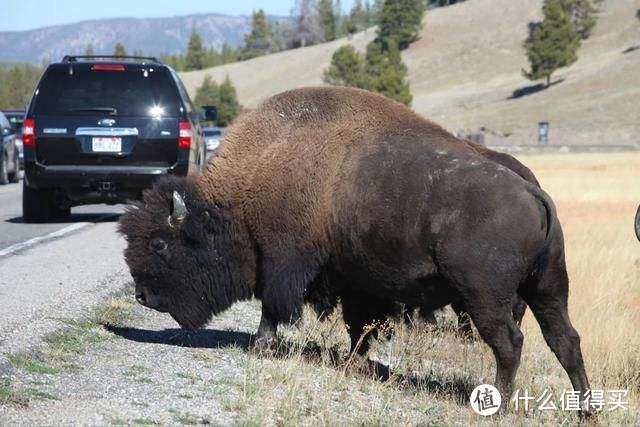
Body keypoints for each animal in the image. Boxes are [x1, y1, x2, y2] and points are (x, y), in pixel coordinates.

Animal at [119, 88, 592, 414]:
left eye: (160, 243)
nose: (142, 295)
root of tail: (534, 192)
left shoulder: (284, 262)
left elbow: (273, 307)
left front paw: (261, 346)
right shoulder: (357, 282)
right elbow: (359, 326)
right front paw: (356, 364)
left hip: (485, 296)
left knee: (509, 342)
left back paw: (499, 406)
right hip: (548, 288)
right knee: (564, 339)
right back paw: (585, 410)